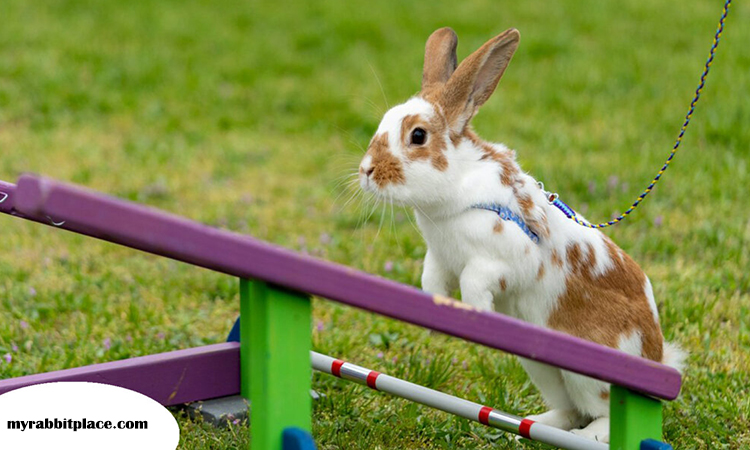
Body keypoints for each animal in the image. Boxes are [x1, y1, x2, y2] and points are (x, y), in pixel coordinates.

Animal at [360, 27, 688, 442]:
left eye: (418, 136)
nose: (366, 171)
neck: (455, 191)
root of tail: (656, 355)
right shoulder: (439, 258)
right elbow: (430, 281)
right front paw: (438, 318)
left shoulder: (502, 260)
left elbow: (473, 281)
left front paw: (477, 314)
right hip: (542, 369)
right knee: (569, 409)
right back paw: (533, 425)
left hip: (588, 375)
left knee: (601, 413)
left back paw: (587, 437)